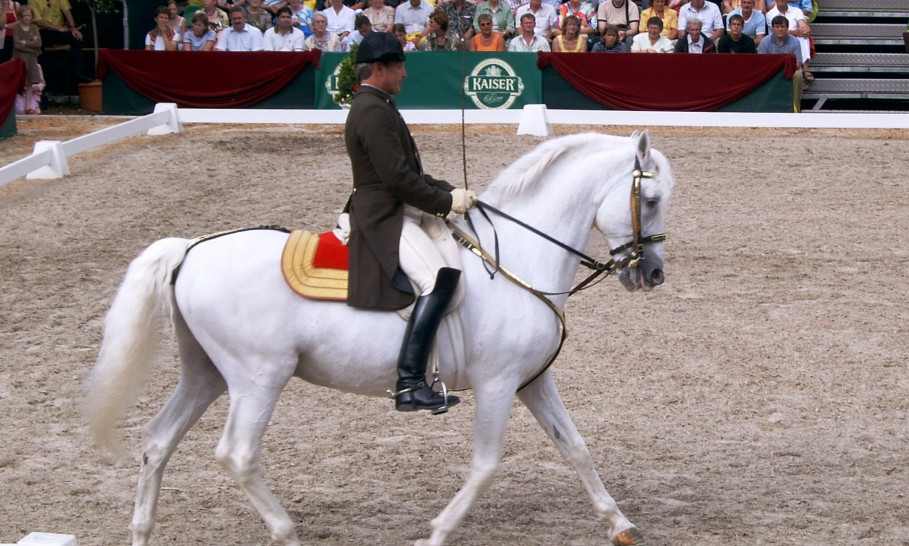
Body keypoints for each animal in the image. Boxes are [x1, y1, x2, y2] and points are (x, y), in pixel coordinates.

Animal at [83, 131, 672, 544]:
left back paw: (141, 533)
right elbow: (486, 466)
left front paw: (620, 524)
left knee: (158, 441)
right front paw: (435, 534)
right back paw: (286, 534)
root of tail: (192, 249)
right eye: (653, 198)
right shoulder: (499, 384)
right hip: (258, 376)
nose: (653, 274)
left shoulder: (531, 380)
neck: (516, 260)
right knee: (237, 454)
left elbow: (575, 447)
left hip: (205, 373)